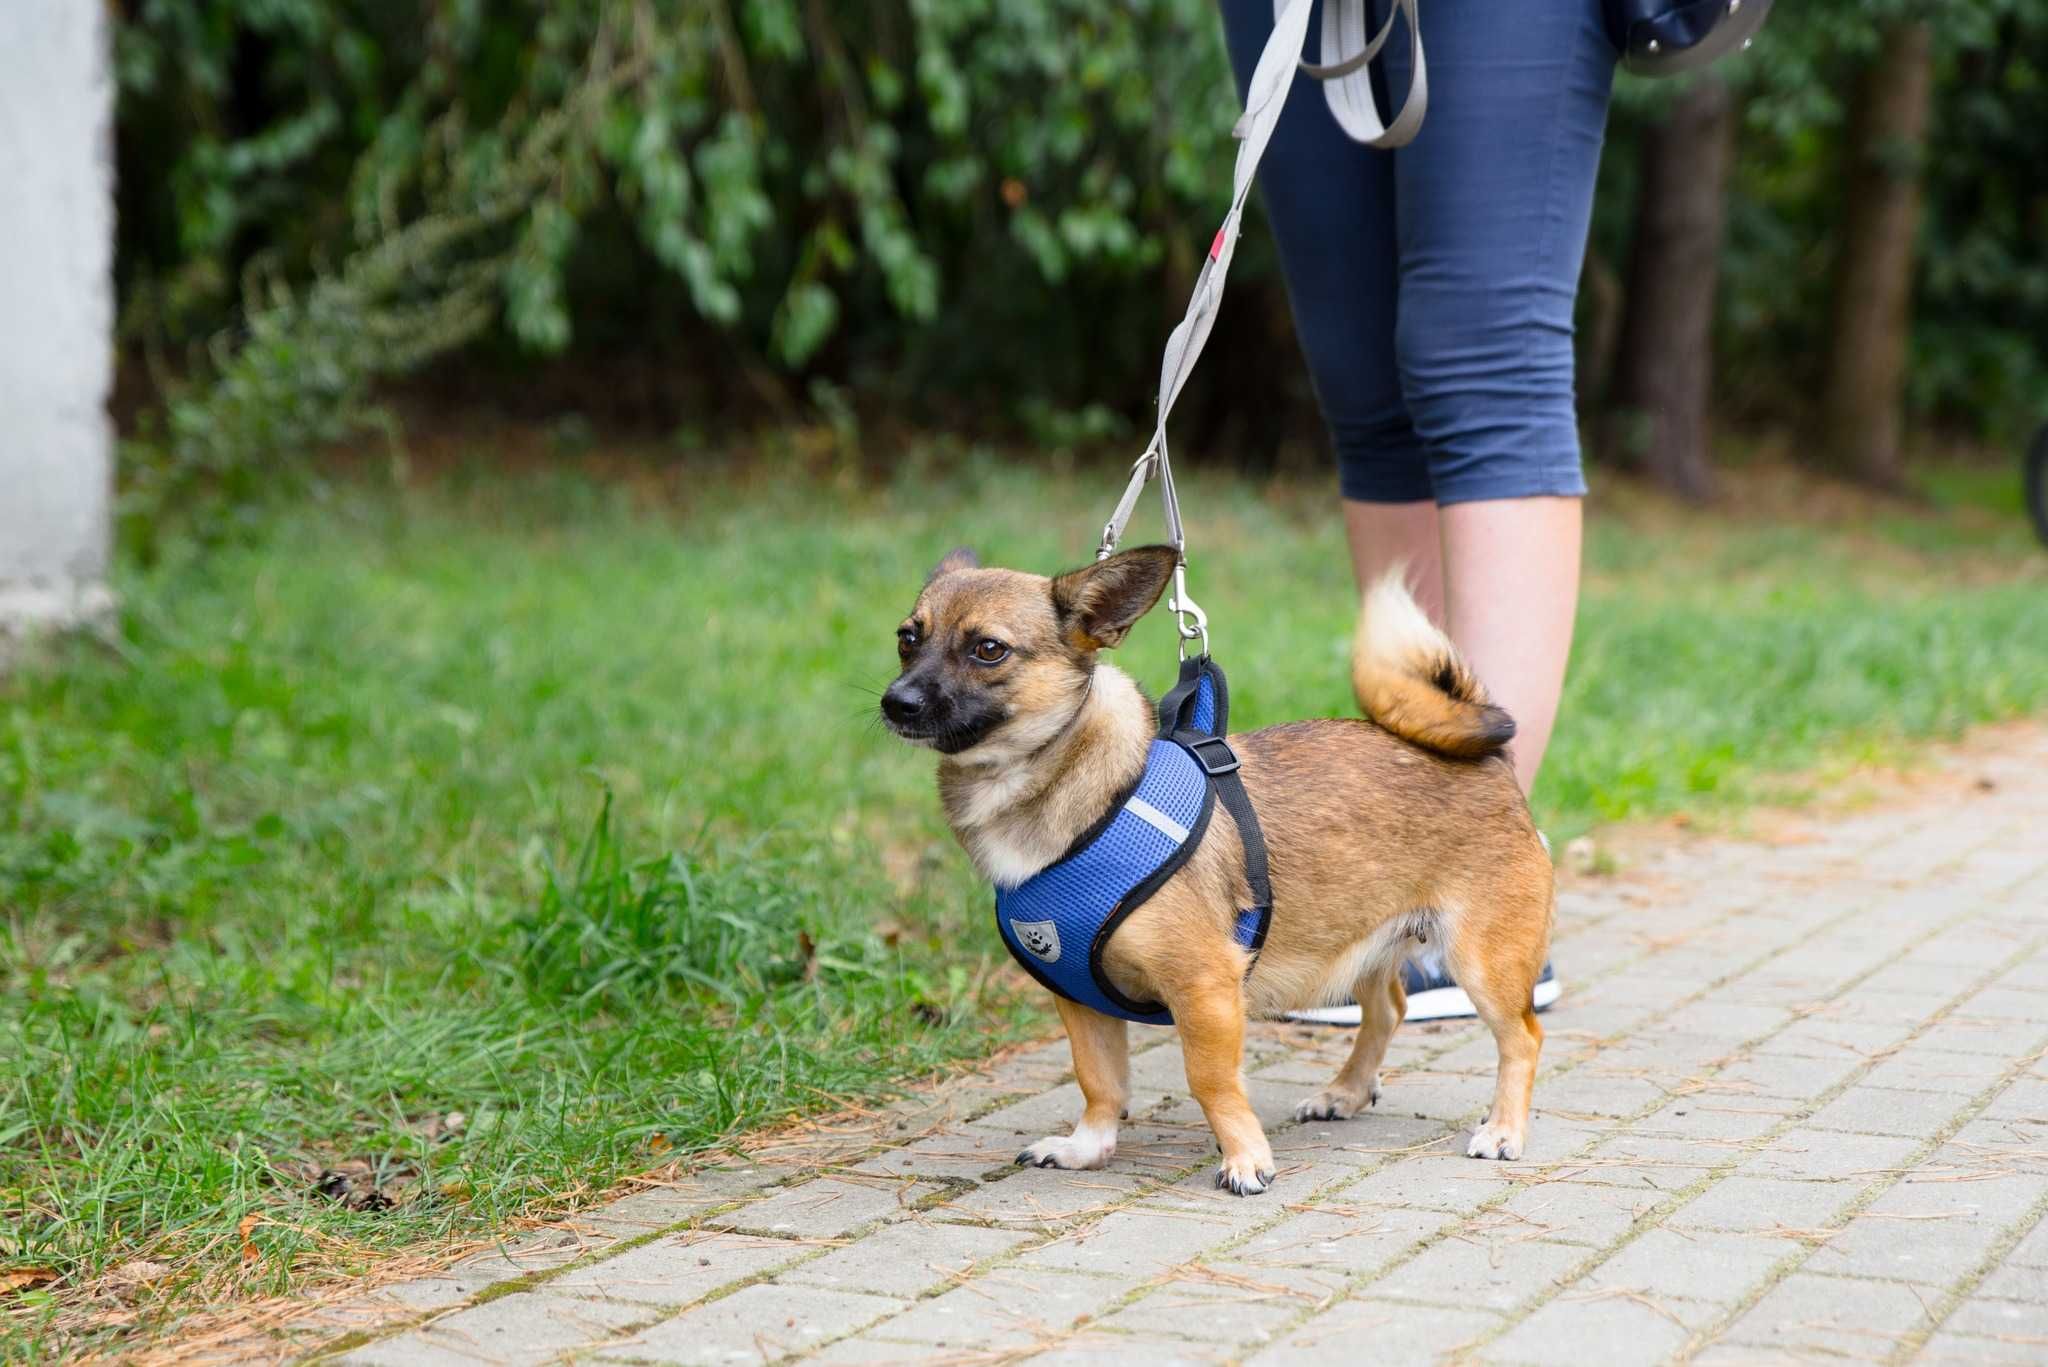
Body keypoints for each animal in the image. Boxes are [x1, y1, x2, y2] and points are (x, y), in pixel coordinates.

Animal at [884, 545, 1548, 1196]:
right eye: (907, 638)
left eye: (988, 649)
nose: (897, 701)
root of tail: (1488, 759)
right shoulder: (1078, 998)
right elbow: (1099, 1081)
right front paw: (1087, 1147)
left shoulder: (1203, 988)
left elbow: (1210, 1081)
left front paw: (1246, 1159)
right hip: (1355, 940)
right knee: (1388, 1011)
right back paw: (1345, 1092)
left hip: (1482, 962)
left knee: (1522, 1039)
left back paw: (1503, 1130)